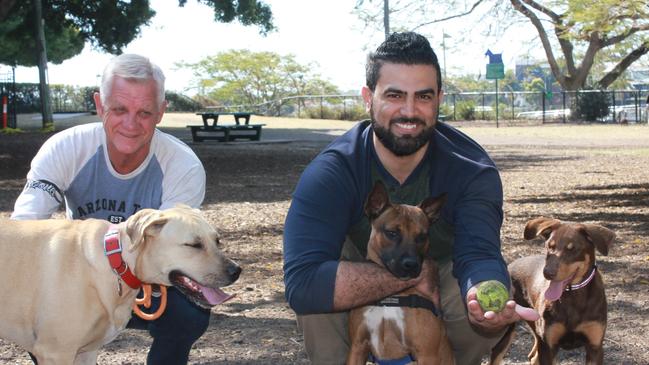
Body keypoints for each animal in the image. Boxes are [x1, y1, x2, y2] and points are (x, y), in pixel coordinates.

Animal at [0, 205, 240, 364]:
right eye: (194, 245)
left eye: (217, 241)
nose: (237, 271)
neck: (115, 260)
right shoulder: (55, 351)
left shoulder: (86, 352)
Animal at [346, 181, 454, 364]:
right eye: (392, 233)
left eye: (422, 237)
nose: (411, 264)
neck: (391, 297)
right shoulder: (357, 347)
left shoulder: (427, 353)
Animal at [488, 216, 616, 364]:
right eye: (549, 246)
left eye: (572, 249)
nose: (547, 273)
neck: (573, 296)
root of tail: (510, 266)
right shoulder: (548, 346)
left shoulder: (595, 346)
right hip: (507, 330)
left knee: (533, 356)